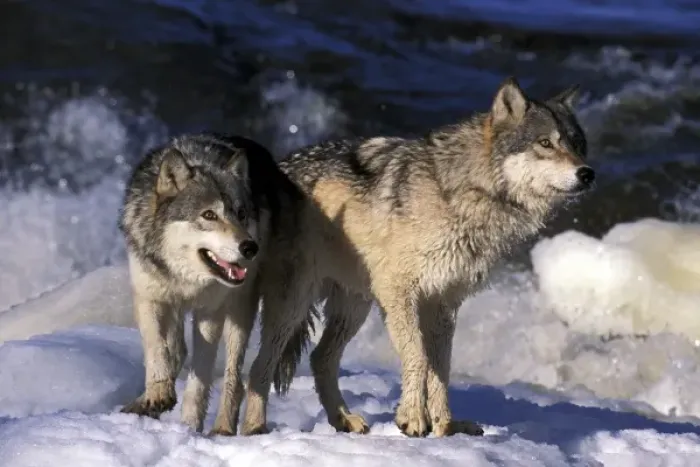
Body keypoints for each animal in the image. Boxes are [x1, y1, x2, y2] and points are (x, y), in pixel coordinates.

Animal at [118, 132, 293, 435]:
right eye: (209, 215)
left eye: (241, 213)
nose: (250, 247)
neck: (187, 278)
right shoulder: (150, 298)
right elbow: (157, 349)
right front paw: (157, 395)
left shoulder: (209, 314)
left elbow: (198, 382)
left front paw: (189, 426)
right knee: (177, 350)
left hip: (241, 310)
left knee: (236, 377)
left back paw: (223, 427)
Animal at [239, 77, 595, 438]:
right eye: (545, 143)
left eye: (578, 145)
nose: (587, 174)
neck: (463, 192)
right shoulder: (399, 292)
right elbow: (419, 357)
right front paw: (412, 418)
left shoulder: (442, 303)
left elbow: (441, 368)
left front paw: (445, 425)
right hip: (295, 305)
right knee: (260, 365)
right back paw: (255, 427)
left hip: (354, 307)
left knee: (320, 358)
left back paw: (344, 419)